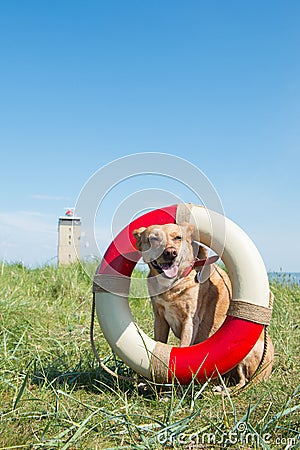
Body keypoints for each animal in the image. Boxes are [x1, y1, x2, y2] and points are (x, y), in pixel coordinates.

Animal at [134, 223, 274, 388]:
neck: (171, 285)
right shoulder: (160, 319)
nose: (171, 253)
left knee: (243, 380)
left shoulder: (190, 321)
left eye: (178, 237)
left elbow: (183, 347)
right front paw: (151, 383)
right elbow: (159, 343)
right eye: (153, 239)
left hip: (247, 352)